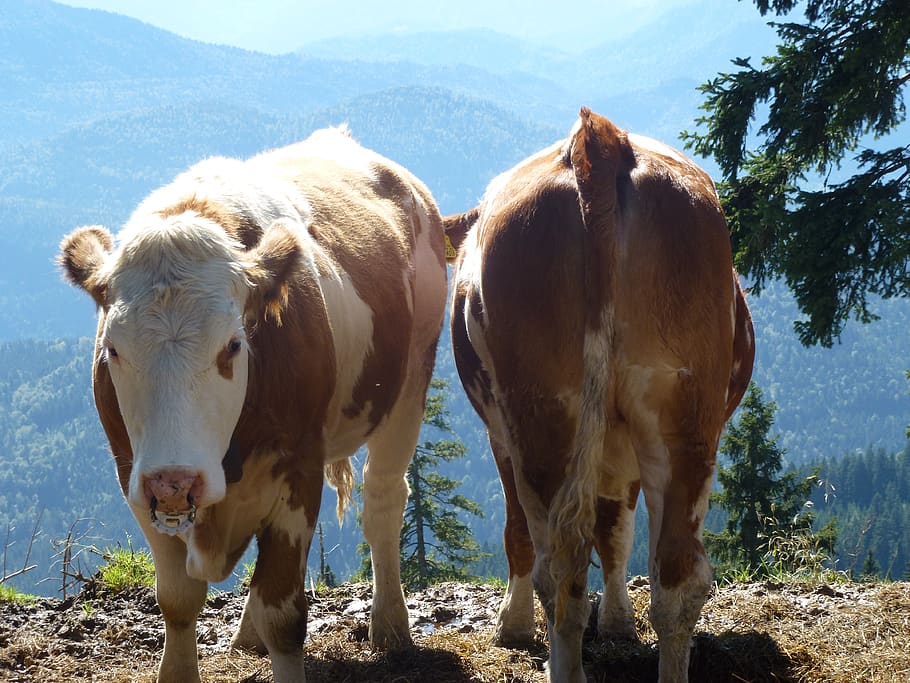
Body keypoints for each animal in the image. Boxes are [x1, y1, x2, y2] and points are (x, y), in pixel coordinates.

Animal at [58, 126, 448, 683]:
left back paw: (391, 626)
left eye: (233, 345)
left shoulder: (299, 470)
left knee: (384, 503)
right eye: (112, 348)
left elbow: (284, 616)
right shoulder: (132, 474)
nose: (173, 480)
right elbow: (177, 599)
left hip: (412, 379)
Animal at [444, 107, 755, 683]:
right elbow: (613, 530)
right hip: (684, 414)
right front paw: (614, 621)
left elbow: (533, 531)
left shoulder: (500, 435)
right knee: (675, 575)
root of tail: (600, 139)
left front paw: (515, 625)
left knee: (563, 567)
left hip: (543, 417)